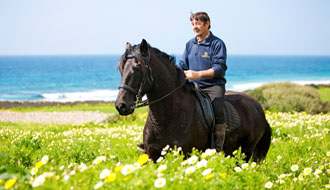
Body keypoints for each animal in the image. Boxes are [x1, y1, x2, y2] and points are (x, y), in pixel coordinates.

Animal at [115, 39, 270, 163]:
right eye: (121, 69)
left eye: (137, 67)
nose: (120, 105)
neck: (167, 117)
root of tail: (258, 107)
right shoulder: (154, 156)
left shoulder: (185, 156)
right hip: (232, 152)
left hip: (246, 151)